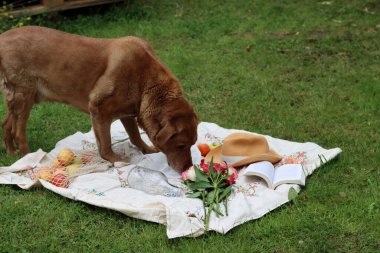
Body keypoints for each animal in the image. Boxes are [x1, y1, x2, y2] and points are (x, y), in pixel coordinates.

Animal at [0, 25, 199, 172]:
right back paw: (29, 159)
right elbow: (106, 144)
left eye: (193, 144)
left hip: (20, 98)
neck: (146, 80)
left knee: (6, 124)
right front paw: (116, 160)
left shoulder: (128, 112)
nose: (188, 169)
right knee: (18, 132)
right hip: (24, 95)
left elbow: (135, 136)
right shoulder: (99, 111)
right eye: (181, 145)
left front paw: (147, 150)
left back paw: (10, 152)